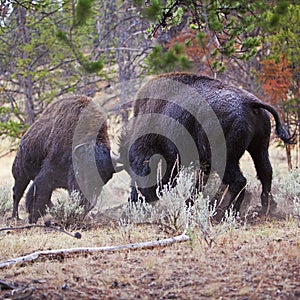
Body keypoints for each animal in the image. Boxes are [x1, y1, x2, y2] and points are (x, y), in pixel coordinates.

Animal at [12, 95, 117, 223]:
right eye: (82, 173)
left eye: (104, 179)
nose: (86, 202)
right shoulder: (47, 174)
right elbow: (38, 196)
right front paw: (32, 219)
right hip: (21, 175)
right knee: (17, 193)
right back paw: (15, 216)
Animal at [119, 72, 292, 219]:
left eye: (136, 168)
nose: (134, 201)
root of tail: (250, 102)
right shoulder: (203, 163)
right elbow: (199, 184)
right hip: (259, 148)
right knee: (265, 172)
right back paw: (265, 208)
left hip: (225, 158)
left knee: (239, 181)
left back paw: (220, 212)